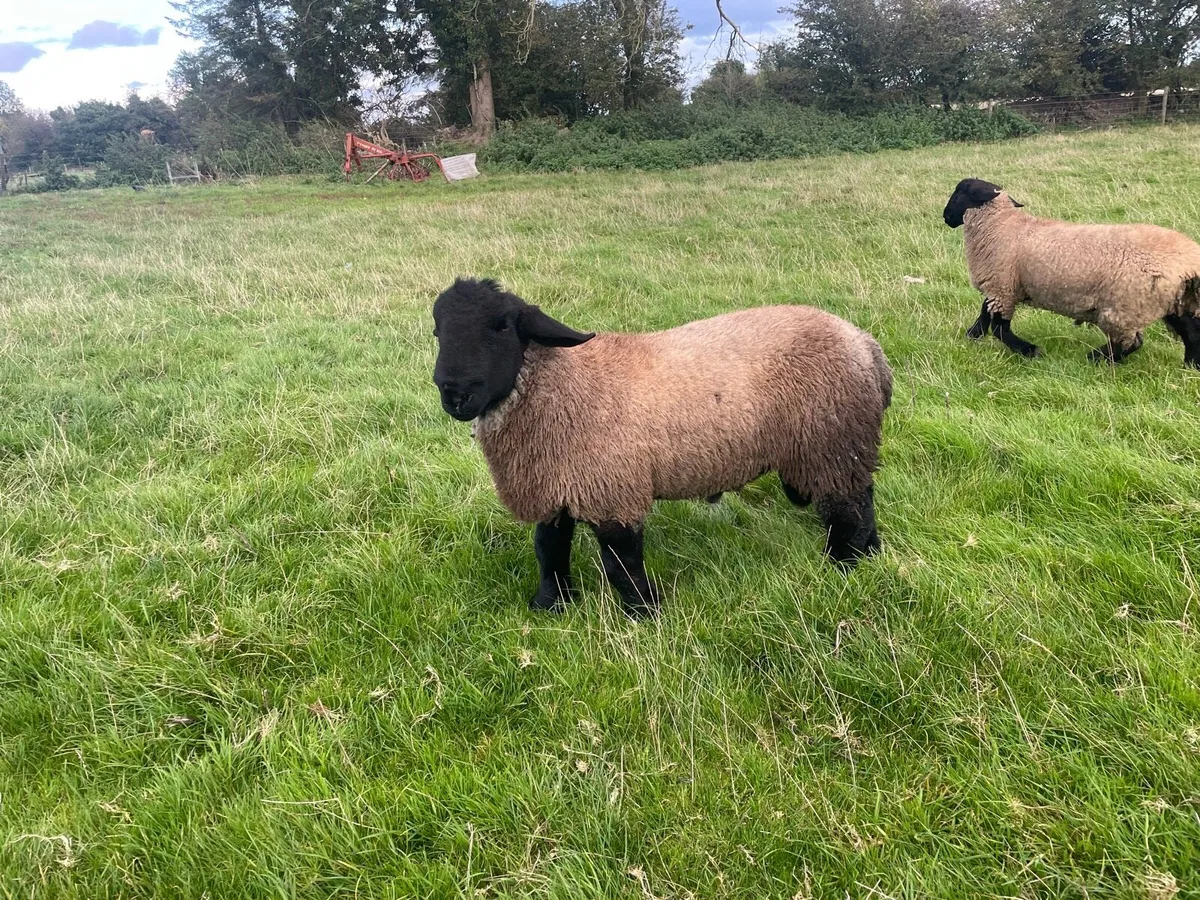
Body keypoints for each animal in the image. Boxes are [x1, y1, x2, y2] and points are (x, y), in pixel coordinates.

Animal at [431, 277, 892, 618]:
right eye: (438, 331)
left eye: (502, 327)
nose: (454, 394)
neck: (566, 384)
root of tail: (866, 344)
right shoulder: (555, 487)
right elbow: (549, 550)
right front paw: (550, 606)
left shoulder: (613, 490)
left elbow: (621, 562)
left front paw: (645, 612)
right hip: (838, 446)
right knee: (861, 499)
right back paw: (869, 556)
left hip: (833, 443)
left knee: (849, 508)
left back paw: (845, 565)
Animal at [943, 178, 1200, 368]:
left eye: (957, 194)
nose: (945, 217)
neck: (1001, 225)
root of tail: (1189, 261)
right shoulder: (1001, 288)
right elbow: (984, 315)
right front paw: (972, 336)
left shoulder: (1002, 287)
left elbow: (999, 329)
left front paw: (1030, 350)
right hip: (1176, 301)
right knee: (1191, 334)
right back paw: (1190, 366)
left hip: (1125, 305)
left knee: (1131, 342)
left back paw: (1096, 358)